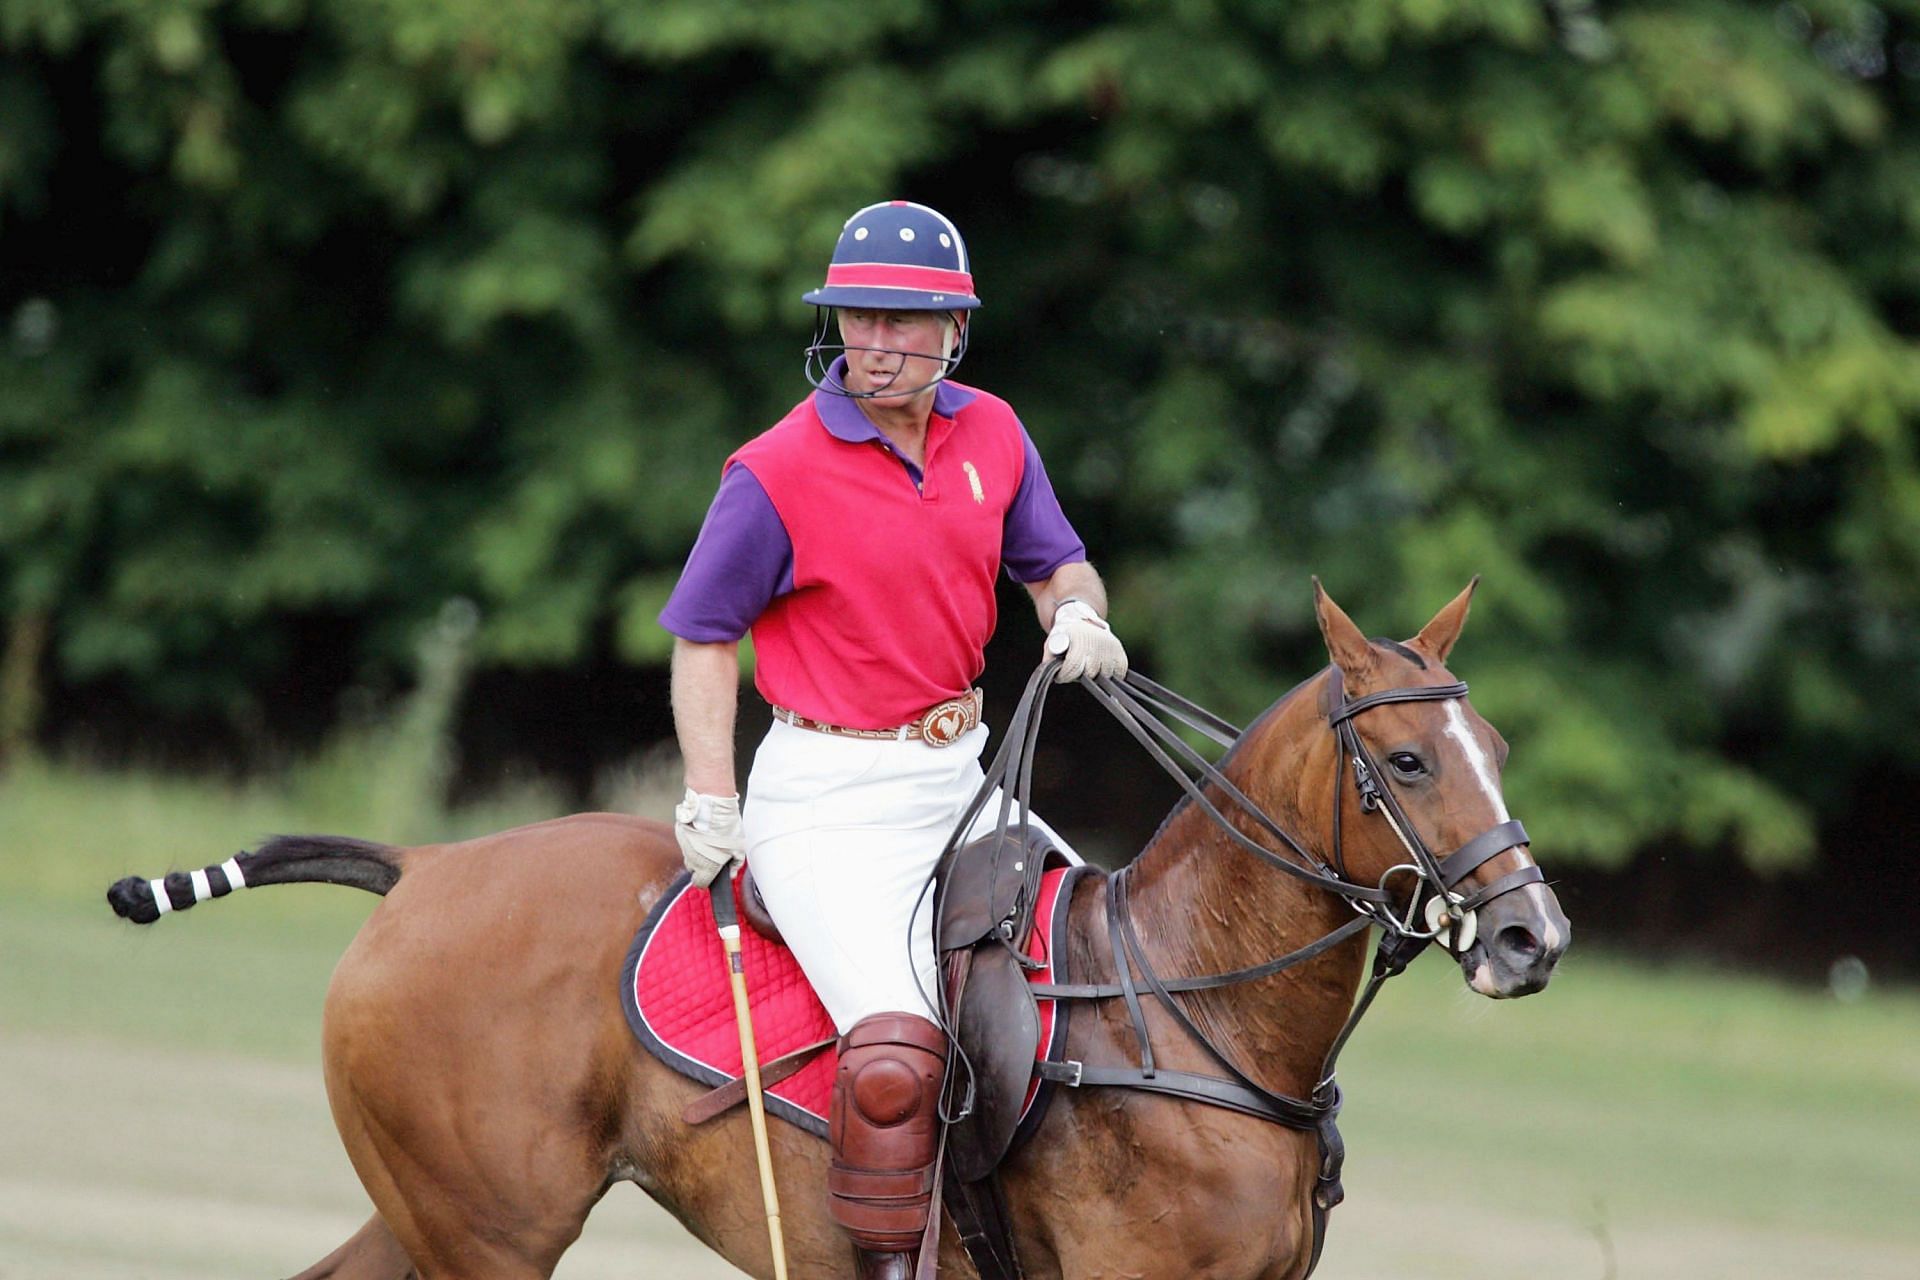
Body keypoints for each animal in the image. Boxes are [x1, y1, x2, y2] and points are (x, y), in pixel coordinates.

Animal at [108, 583, 1559, 1280]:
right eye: (1410, 762)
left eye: (1493, 745)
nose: (1533, 936)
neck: (1197, 1014)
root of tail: (425, 868)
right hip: (488, 1230)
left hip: (434, 1206)